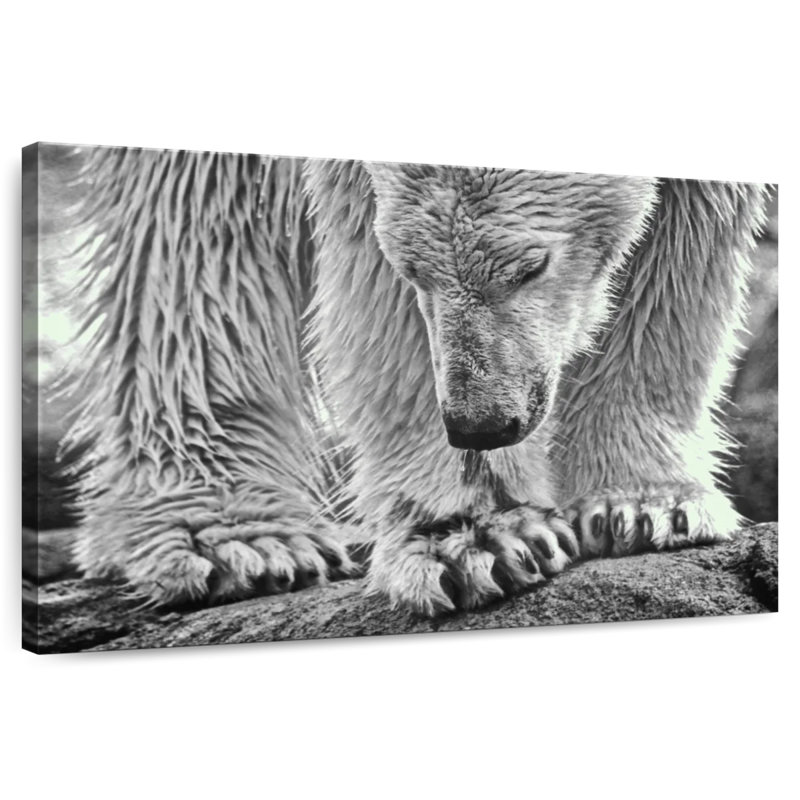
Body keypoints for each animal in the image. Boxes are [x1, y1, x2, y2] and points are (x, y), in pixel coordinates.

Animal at [60, 145, 767, 616]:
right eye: (411, 269)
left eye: (531, 265)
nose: (481, 422)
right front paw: (475, 539)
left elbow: (683, 245)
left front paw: (640, 508)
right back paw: (239, 541)